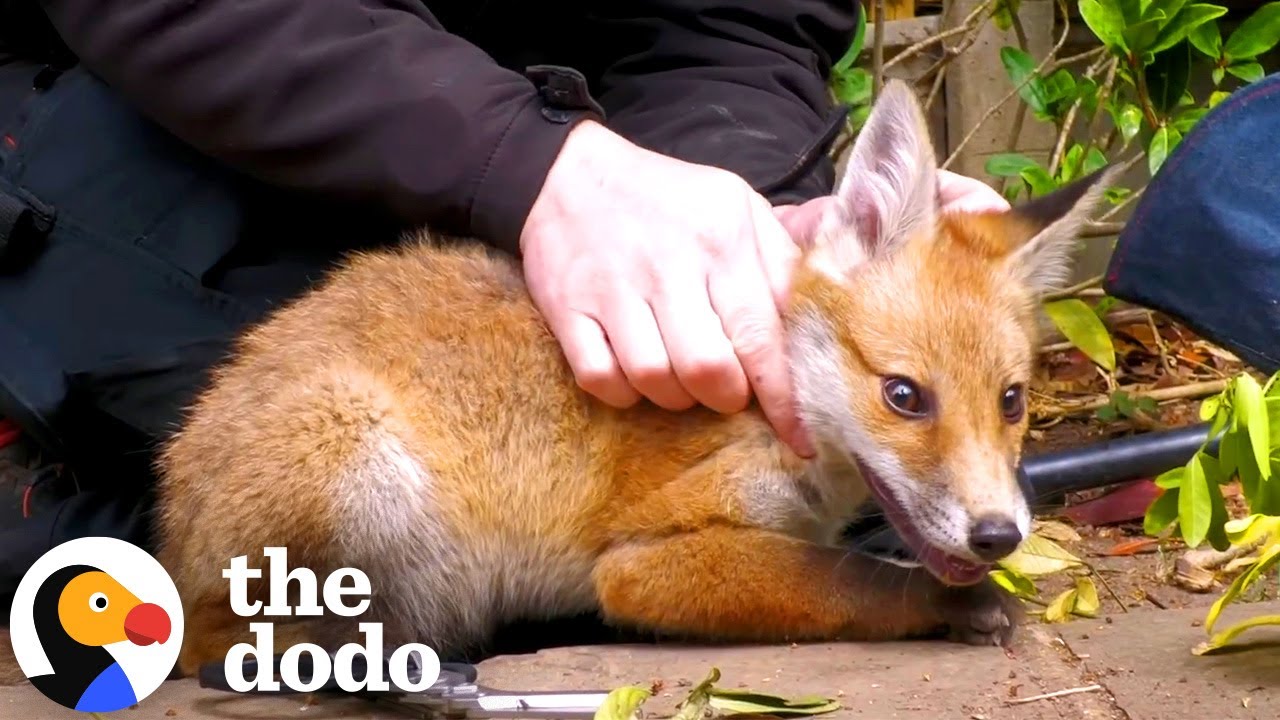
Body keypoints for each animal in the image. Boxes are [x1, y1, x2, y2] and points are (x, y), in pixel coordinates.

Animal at [153, 79, 1117, 676]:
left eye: (1013, 401)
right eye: (904, 396)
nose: (998, 535)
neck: (783, 417)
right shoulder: (644, 557)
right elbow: (847, 581)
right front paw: (951, 605)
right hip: (362, 462)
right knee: (223, 645)